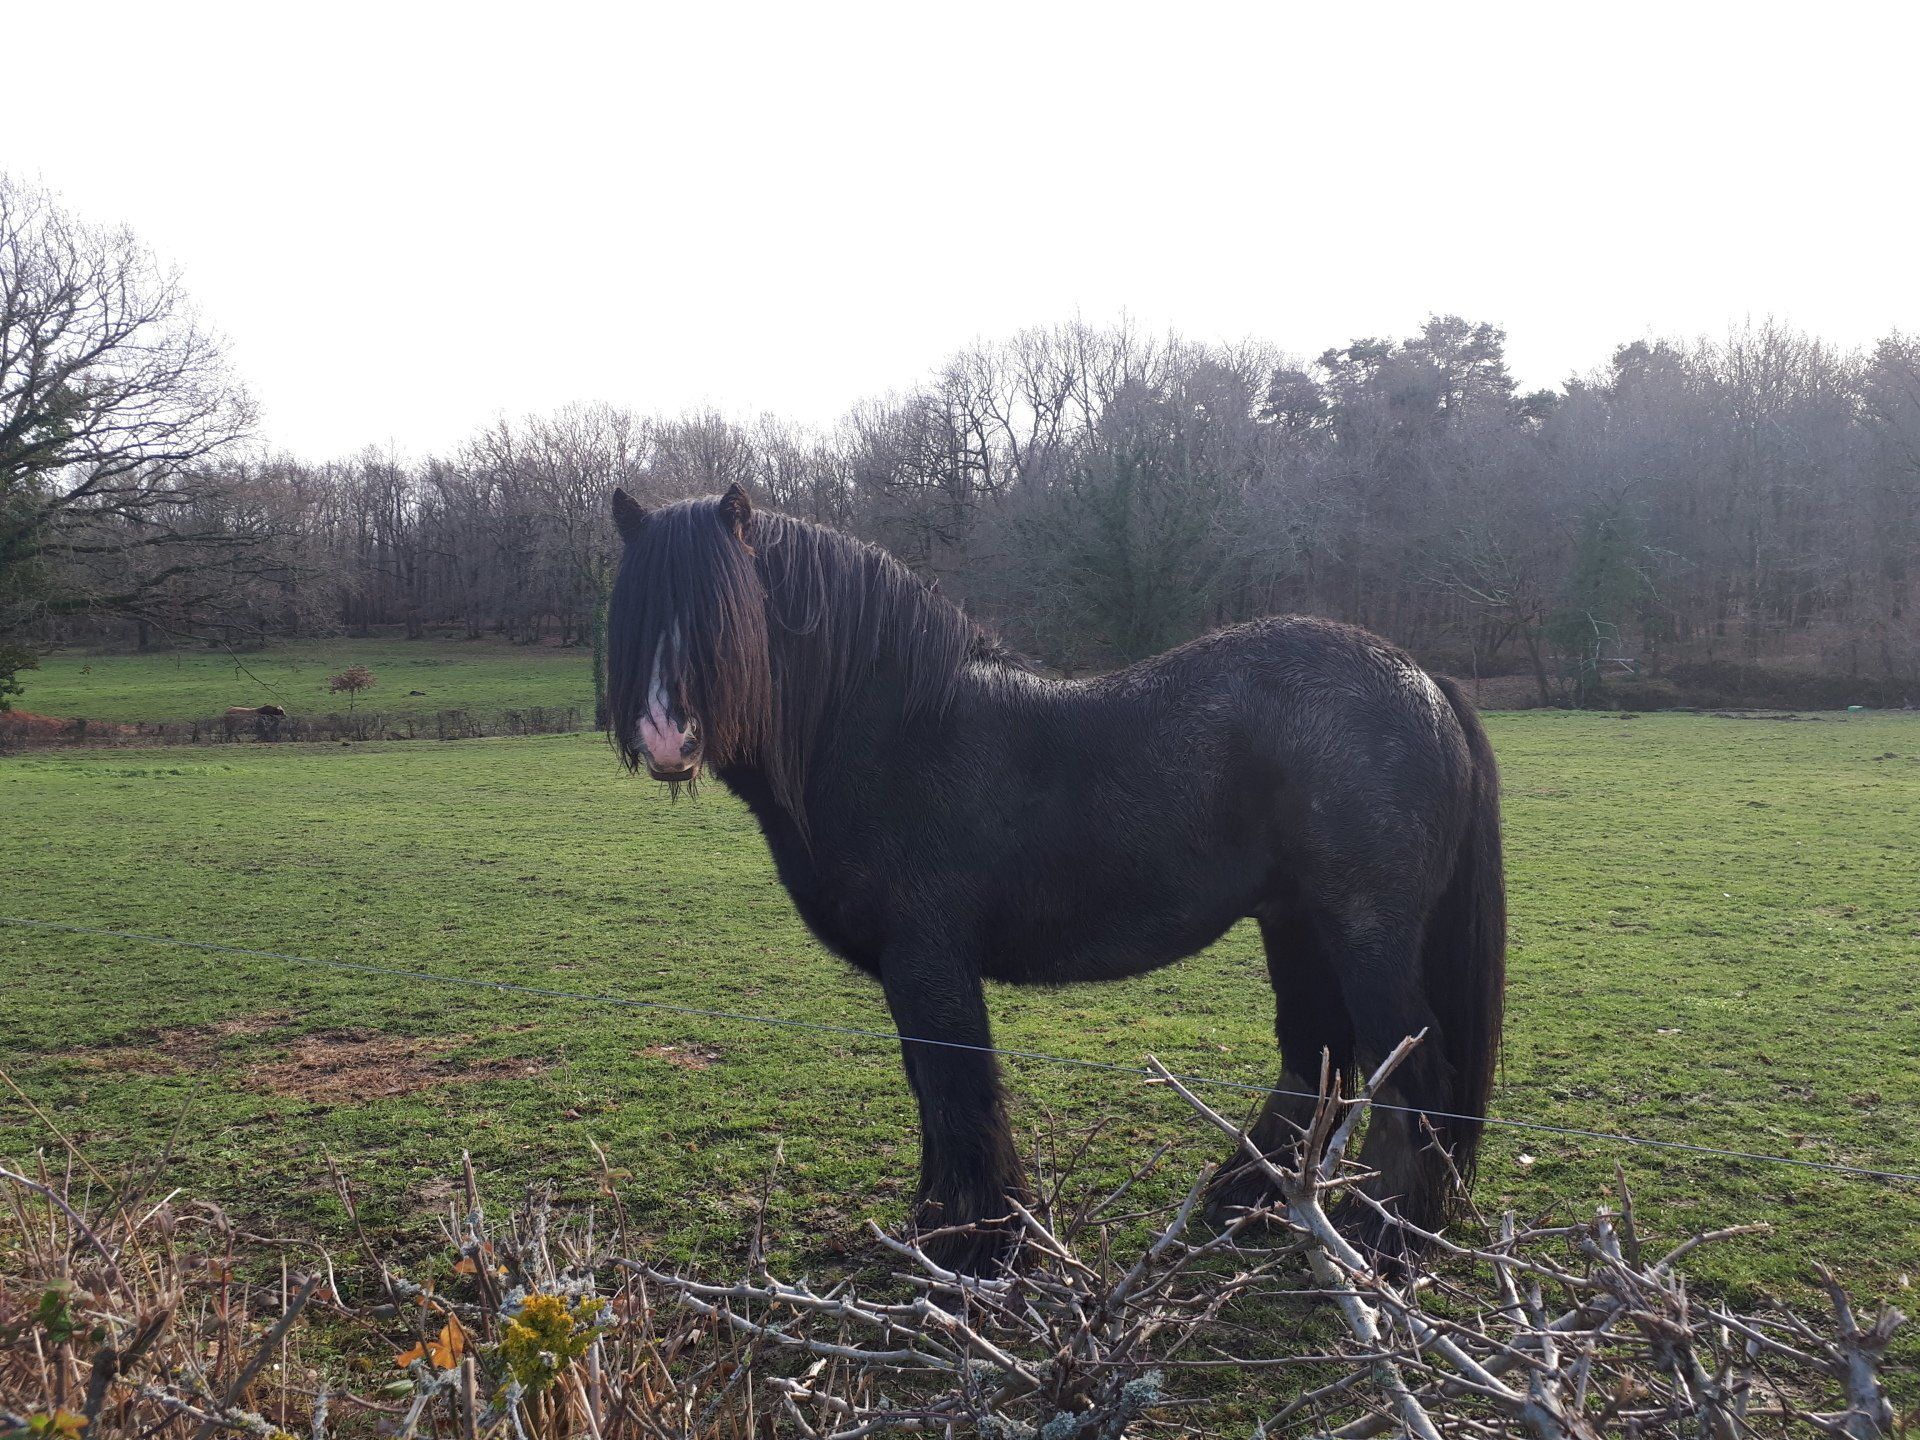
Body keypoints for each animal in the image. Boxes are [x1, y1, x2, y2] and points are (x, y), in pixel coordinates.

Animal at [605, 484, 1505, 1270]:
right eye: (636, 612)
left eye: (724, 617)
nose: (665, 736)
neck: (898, 730)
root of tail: (1420, 678)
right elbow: (934, 1096)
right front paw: (944, 1229)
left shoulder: (929, 962)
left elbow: (961, 1095)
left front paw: (981, 1245)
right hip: (1296, 925)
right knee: (1315, 1056)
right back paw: (1255, 1198)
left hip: (1366, 935)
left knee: (1409, 1071)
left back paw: (1384, 1233)